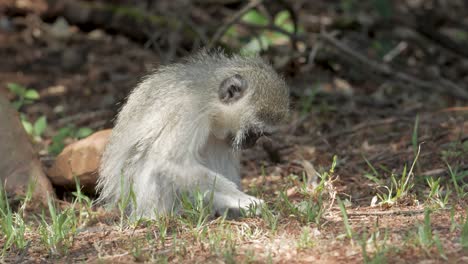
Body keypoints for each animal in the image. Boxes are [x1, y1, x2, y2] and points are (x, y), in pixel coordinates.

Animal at [96, 49, 288, 219]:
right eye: (254, 133)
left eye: (259, 135)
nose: (251, 143)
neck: (209, 104)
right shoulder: (187, 111)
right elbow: (172, 162)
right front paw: (244, 200)